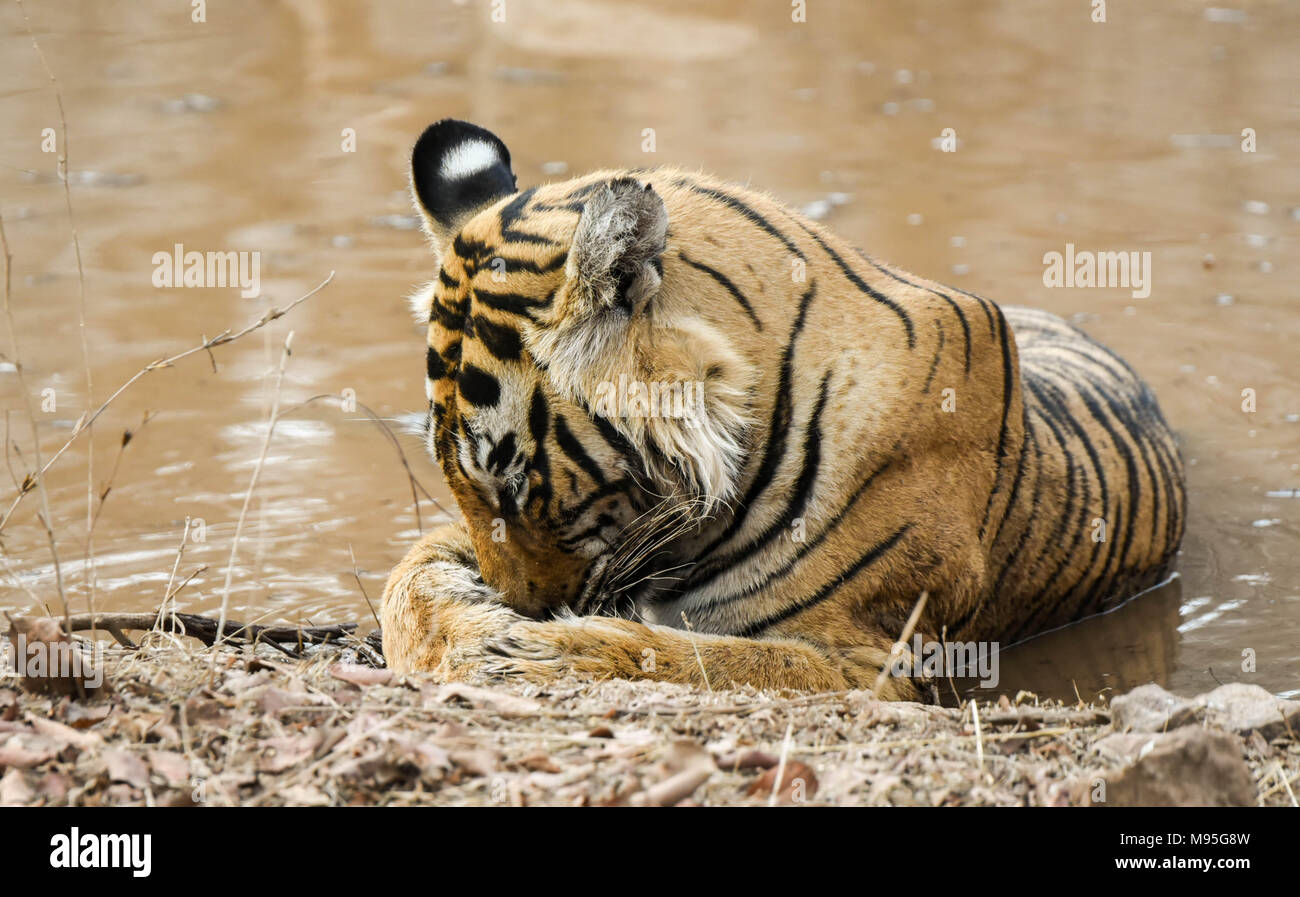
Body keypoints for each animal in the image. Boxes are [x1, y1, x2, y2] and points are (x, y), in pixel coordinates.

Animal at [379, 116, 1190, 696]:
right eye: (459, 483)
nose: (517, 605)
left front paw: (525, 648)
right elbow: (406, 573)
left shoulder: (871, 663)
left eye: (515, 486)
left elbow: (693, 657)